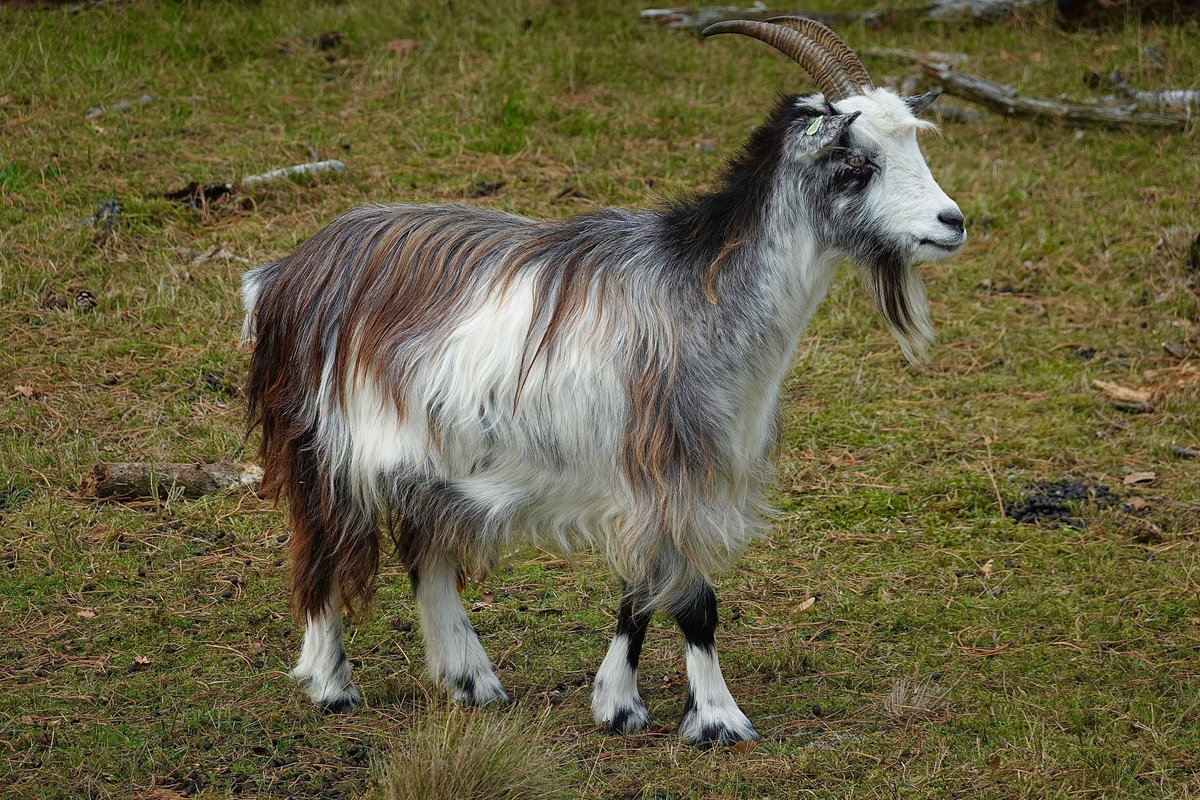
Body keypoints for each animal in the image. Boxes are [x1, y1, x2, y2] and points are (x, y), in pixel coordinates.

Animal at [241, 18, 966, 746]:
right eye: (857, 164)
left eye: (912, 145)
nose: (952, 223)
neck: (701, 294)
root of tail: (285, 273)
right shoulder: (665, 471)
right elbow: (693, 601)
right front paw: (719, 718)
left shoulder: (660, 482)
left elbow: (640, 593)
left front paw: (619, 704)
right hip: (324, 446)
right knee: (321, 550)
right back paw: (332, 685)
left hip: (432, 458)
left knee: (427, 556)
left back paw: (472, 682)